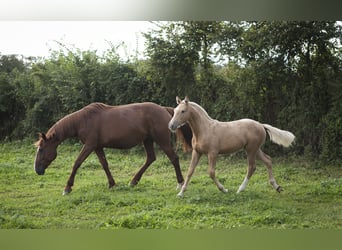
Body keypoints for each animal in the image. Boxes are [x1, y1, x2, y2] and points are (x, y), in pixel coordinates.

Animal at [34, 102, 192, 195]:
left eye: (41, 149)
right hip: (147, 140)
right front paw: (112, 184)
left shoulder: (89, 145)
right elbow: (105, 164)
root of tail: (165, 109)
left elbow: (77, 163)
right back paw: (133, 181)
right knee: (151, 158)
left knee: (174, 158)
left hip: (161, 140)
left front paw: (67, 188)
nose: (37, 170)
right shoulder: (97, 147)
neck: (83, 120)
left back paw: (180, 183)